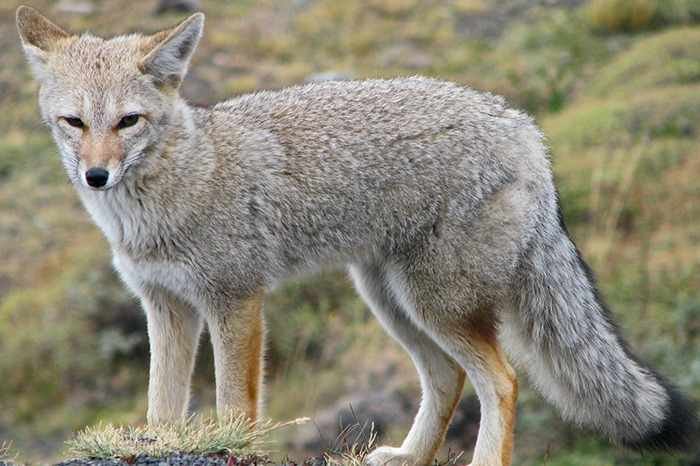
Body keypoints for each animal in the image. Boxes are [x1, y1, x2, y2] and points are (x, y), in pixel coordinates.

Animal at [16, 5, 698, 466]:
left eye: (128, 122)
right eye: (73, 123)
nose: (96, 175)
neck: (174, 189)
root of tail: (522, 125)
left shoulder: (235, 300)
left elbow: (234, 404)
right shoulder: (166, 307)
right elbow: (162, 406)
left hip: (436, 305)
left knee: (502, 380)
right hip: (392, 301)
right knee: (448, 378)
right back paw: (411, 456)